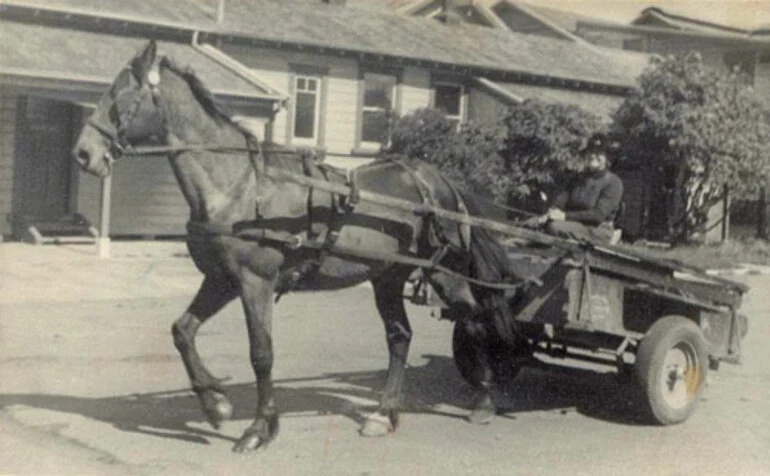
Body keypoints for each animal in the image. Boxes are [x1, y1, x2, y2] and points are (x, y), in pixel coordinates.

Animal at [72, 40, 524, 450]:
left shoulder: (256, 281)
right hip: (388, 277)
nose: (83, 154)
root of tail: (439, 180)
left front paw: (258, 429)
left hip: (444, 273)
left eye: (120, 94)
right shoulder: (221, 279)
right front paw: (215, 404)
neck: (239, 186)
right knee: (400, 337)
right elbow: (182, 331)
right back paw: (384, 414)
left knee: (474, 319)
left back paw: (484, 400)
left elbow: (261, 353)